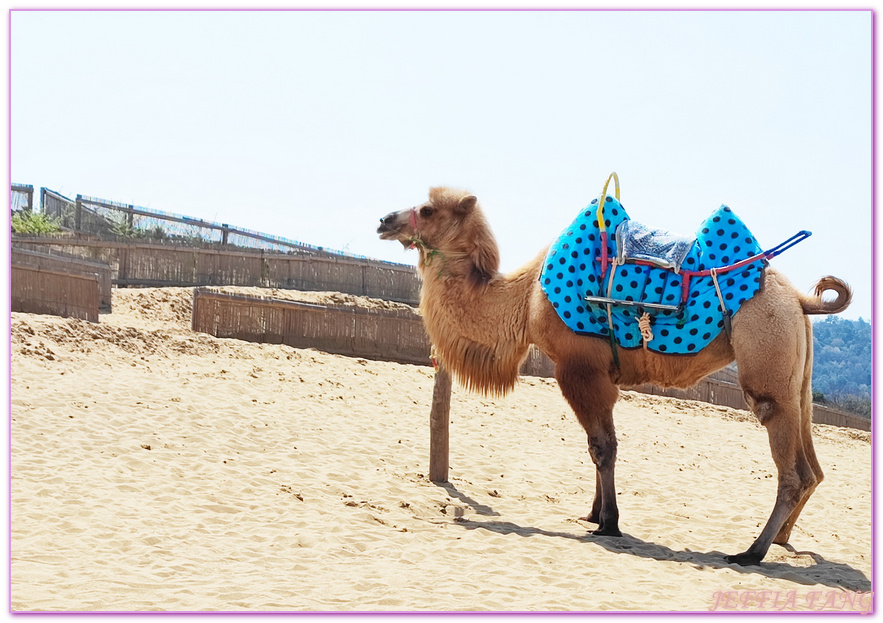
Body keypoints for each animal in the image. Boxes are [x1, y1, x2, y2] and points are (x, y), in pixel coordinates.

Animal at [376, 185, 852, 564]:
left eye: (428, 209)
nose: (384, 220)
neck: (525, 302)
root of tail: (800, 300)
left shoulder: (578, 369)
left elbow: (603, 446)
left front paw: (608, 522)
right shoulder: (599, 373)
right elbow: (597, 447)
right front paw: (592, 511)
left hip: (767, 361)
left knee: (792, 468)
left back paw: (751, 552)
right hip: (797, 381)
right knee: (813, 466)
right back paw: (784, 541)